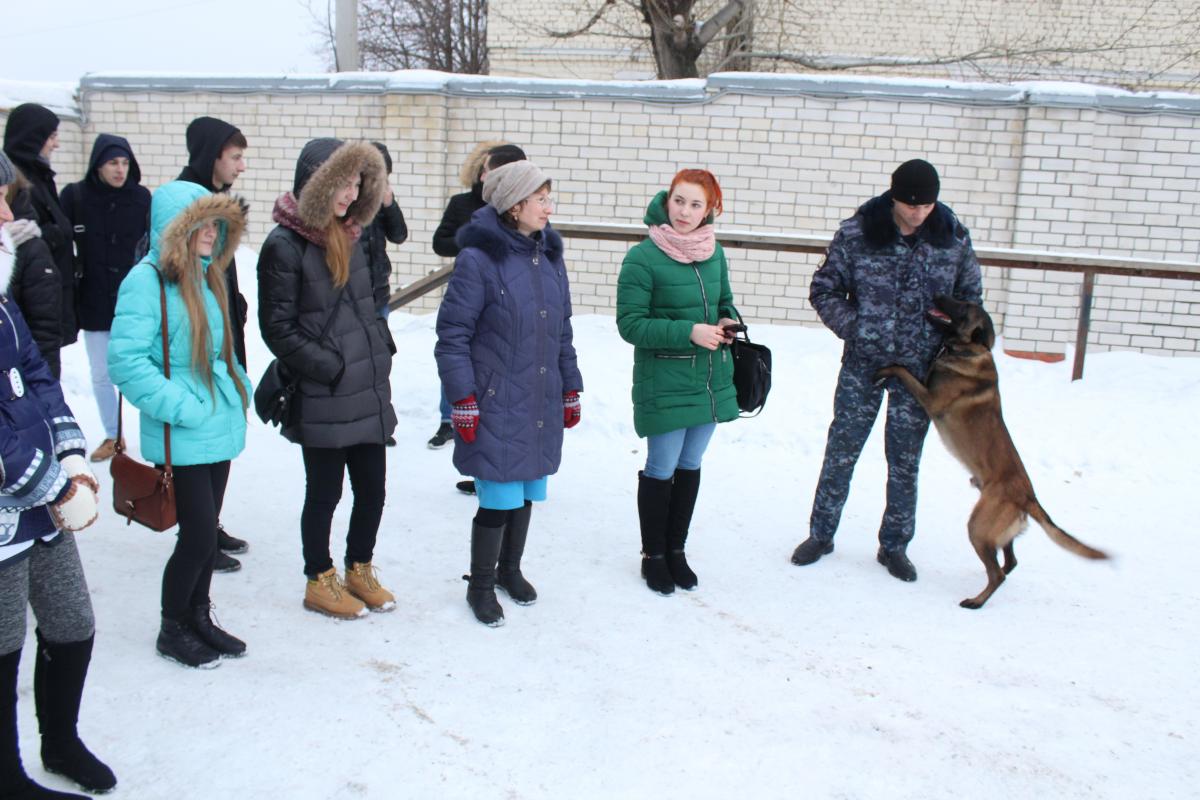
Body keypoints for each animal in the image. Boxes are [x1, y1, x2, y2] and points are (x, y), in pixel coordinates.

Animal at [873, 297, 1104, 609]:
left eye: (961, 306)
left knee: (998, 573)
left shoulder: (930, 399)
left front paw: (882, 371)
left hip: (978, 527)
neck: (970, 351)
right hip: (997, 530)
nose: (938, 295)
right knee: (1010, 562)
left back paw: (976, 601)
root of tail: (1028, 497)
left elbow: (901, 369)